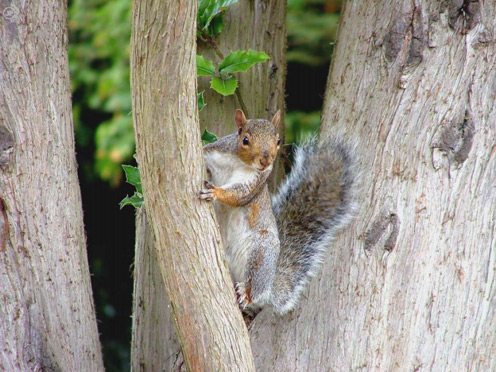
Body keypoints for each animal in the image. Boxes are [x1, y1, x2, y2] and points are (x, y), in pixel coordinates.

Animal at [200, 109, 358, 316]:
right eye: (245, 139)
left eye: (278, 141)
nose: (265, 160)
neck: (238, 162)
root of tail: (271, 285)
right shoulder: (217, 152)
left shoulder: (255, 182)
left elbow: (238, 195)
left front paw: (216, 192)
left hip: (261, 253)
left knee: (256, 287)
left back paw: (246, 293)